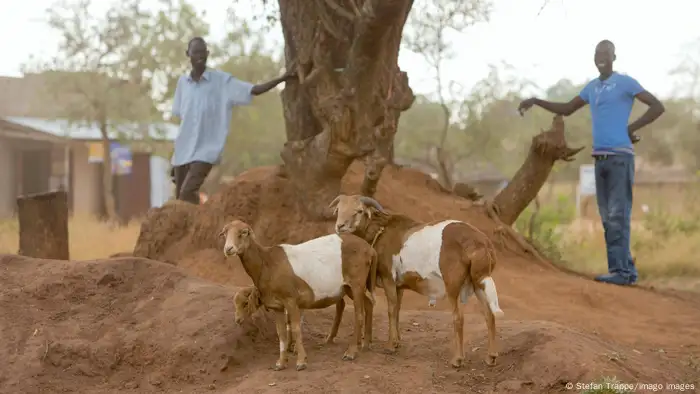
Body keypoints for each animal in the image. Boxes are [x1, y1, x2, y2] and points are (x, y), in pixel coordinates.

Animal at [220, 220, 378, 370]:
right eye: (225, 233)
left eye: (244, 232)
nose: (228, 249)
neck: (267, 263)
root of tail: (370, 249)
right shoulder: (277, 306)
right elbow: (281, 333)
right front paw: (281, 363)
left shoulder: (291, 300)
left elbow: (296, 328)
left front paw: (301, 362)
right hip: (349, 288)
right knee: (369, 304)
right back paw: (366, 344)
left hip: (356, 284)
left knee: (359, 315)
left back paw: (351, 352)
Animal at [330, 195, 504, 368]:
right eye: (339, 209)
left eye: (359, 211)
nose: (340, 226)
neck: (381, 231)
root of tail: (480, 244)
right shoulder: (399, 286)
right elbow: (397, 309)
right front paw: (397, 342)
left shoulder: (388, 278)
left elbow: (391, 309)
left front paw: (390, 346)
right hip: (478, 283)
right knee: (489, 315)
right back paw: (491, 357)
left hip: (453, 286)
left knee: (459, 317)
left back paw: (457, 360)